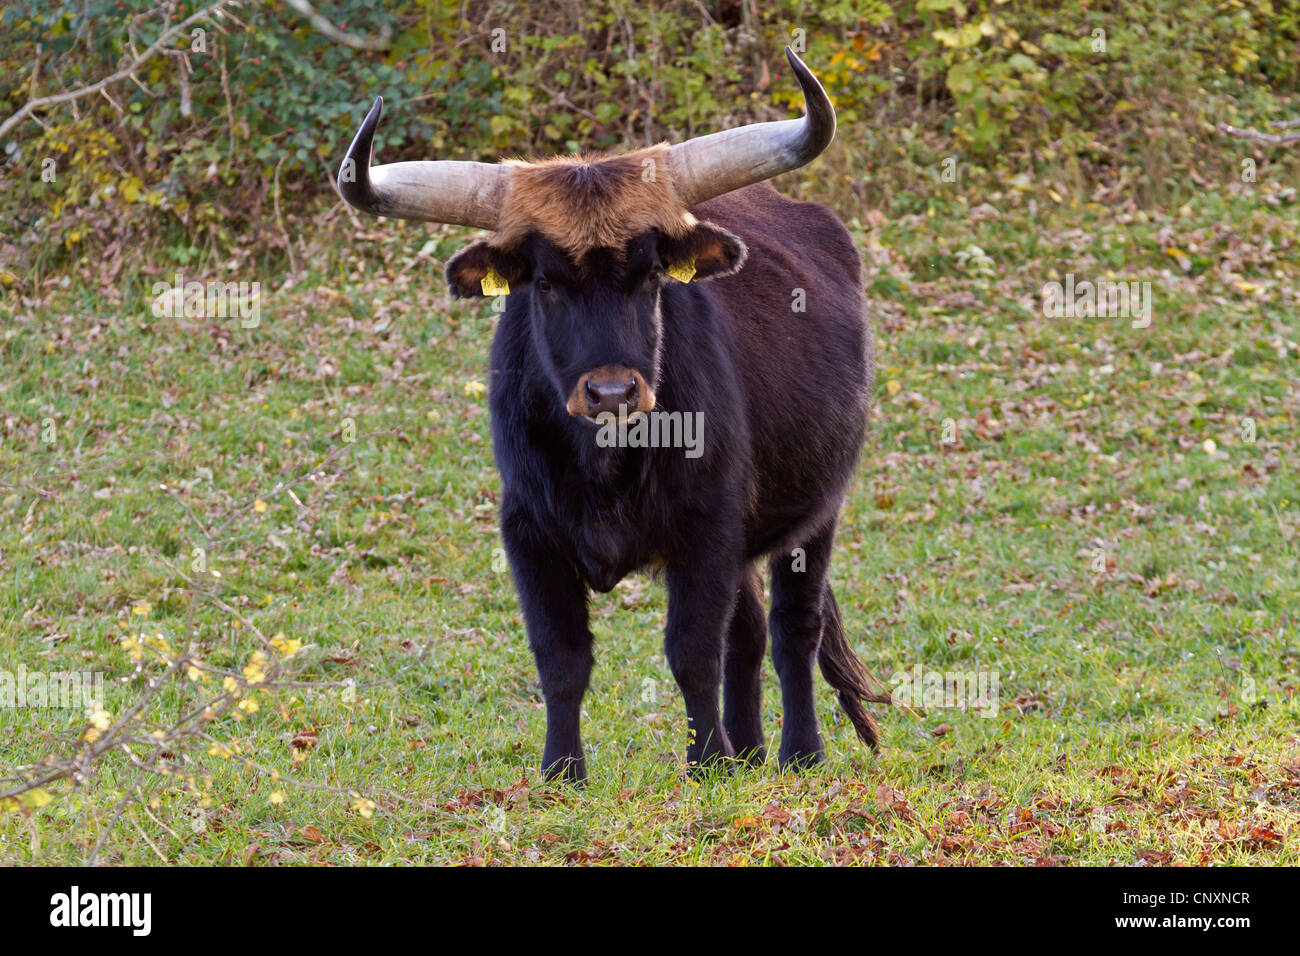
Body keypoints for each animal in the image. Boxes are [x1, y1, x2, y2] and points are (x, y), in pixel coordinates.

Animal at [338, 48, 883, 780]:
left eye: (651, 274)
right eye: (543, 282)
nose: (613, 393)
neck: (603, 467)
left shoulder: (705, 530)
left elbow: (693, 652)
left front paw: (703, 764)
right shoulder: (529, 532)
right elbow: (562, 659)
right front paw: (563, 771)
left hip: (815, 514)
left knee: (792, 629)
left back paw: (798, 753)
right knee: (748, 632)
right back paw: (747, 752)